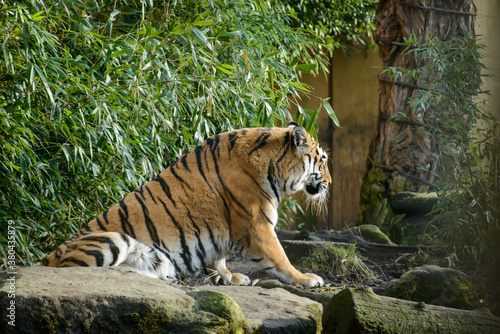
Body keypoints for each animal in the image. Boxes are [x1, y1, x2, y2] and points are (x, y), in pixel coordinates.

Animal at [41, 122, 332, 288]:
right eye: (323, 160)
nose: (329, 183)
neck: (275, 169)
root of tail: (45, 258)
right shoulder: (257, 226)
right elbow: (281, 258)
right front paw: (307, 279)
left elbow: (219, 258)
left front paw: (230, 277)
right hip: (110, 239)